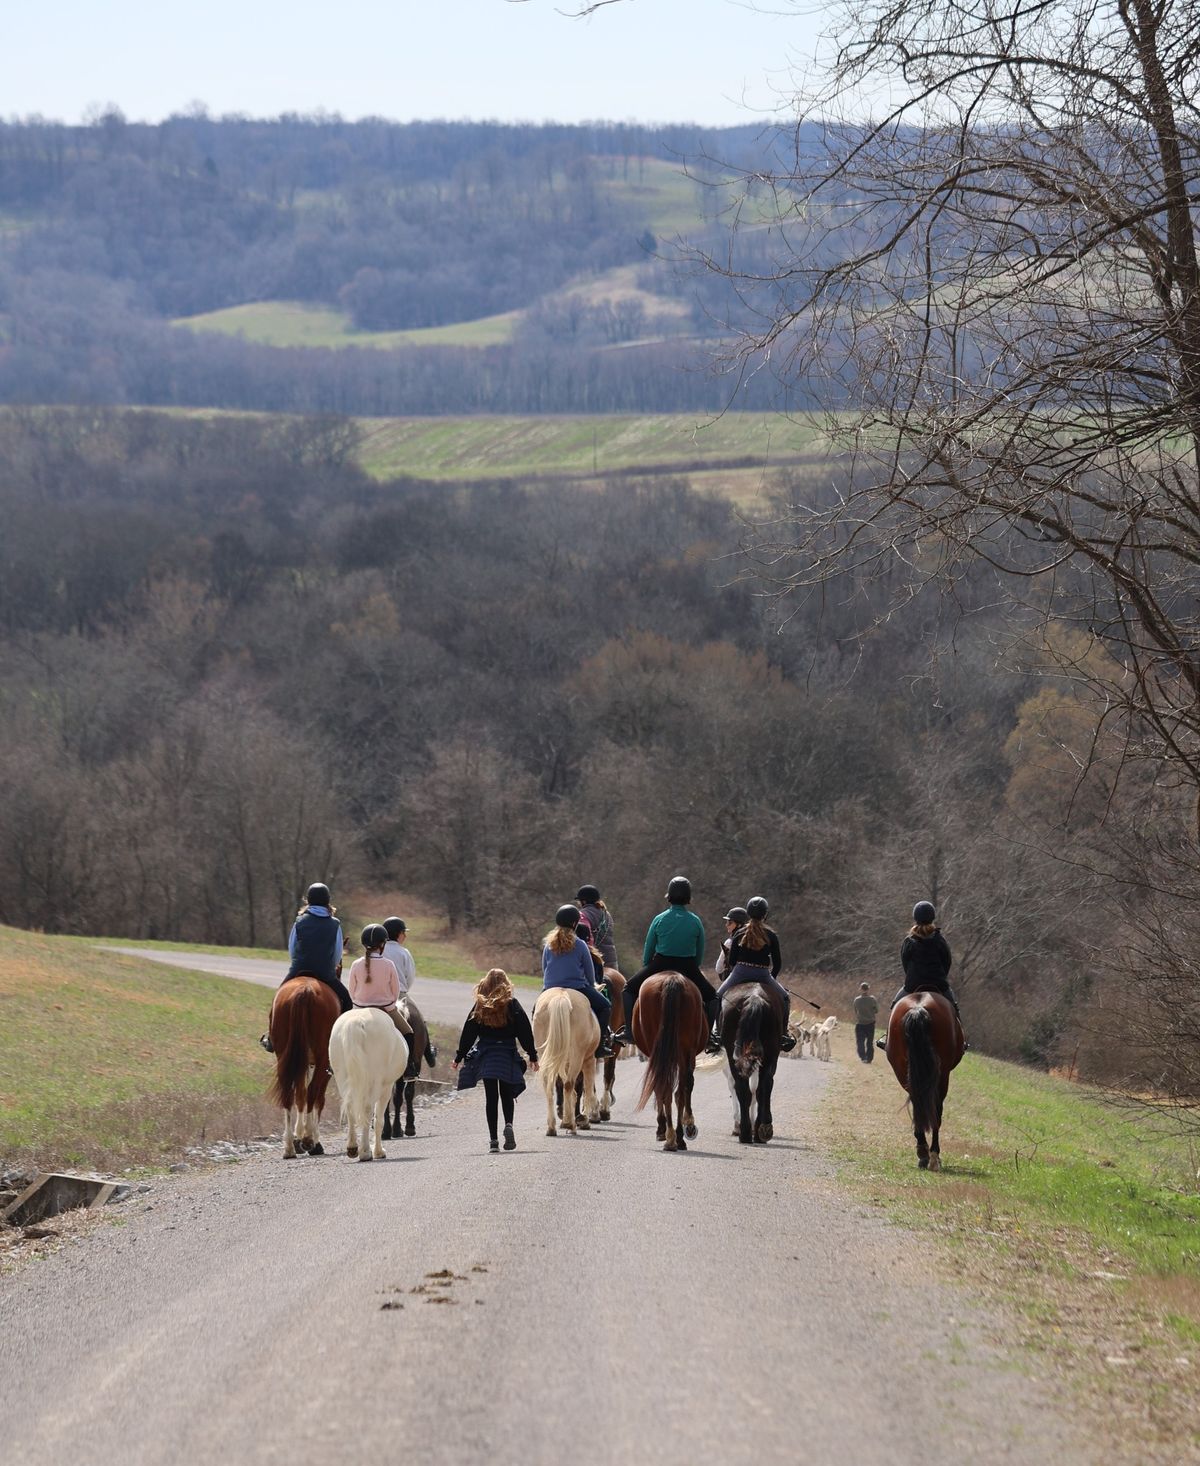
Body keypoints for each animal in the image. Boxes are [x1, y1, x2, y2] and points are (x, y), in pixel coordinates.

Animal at [268, 979, 339, 1161]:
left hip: (284, 1056)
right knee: (313, 1092)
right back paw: (308, 1140)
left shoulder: (302, 1063)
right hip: (322, 1058)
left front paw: (297, 1136)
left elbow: (300, 1096)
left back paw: (289, 1147)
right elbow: (317, 1099)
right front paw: (311, 1137)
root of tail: (305, 990)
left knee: (289, 1093)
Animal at [331, 1002, 410, 1161]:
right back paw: (366, 1151)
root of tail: (355, 1022)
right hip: (375, 1082)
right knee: (367, 1110)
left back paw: (352, 1147)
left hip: (341, 1077)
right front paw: (379, 1151)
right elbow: (379, 1119)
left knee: (350, 1107)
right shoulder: (386, 1087)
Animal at [723, 985, 791, 1143]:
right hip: (769, 1055)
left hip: (733, 1056)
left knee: (744, 1089)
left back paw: (746, 1132)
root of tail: (755, 998)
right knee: (761, 1088)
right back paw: (761, 1129)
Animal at [884, 991, 967, 1172]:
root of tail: (918, 1008)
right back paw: (933, 1156)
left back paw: (923, 1152)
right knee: (936, 1111)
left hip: (902, 1070)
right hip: (942, 1076)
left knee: (918, 1102)